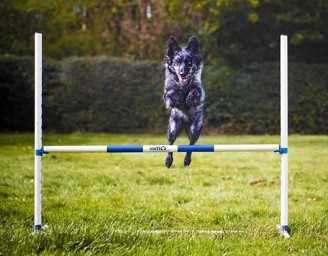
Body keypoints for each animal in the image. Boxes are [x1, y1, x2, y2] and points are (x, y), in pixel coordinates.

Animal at [163, 36, 204, 168]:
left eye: (189, 63)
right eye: (177, 62)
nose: (182, 73)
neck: (184, 85)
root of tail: (185, 123)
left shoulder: (199, 89)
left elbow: (195, 91)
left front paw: (190, 98)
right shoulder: (167, 92)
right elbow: (171, 94)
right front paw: (176, 99)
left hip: (195, 129)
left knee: (191, 145)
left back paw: (187, 161)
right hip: (173, 127)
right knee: (170, 144)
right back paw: (168, 161)